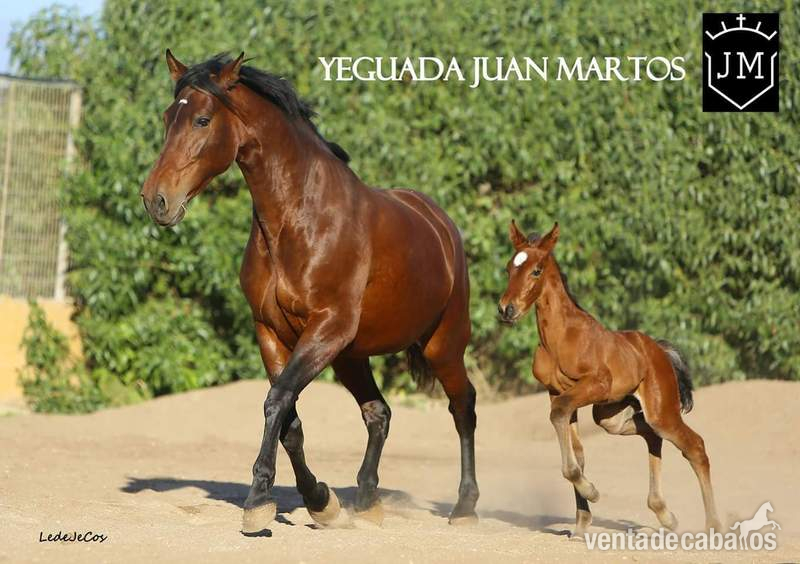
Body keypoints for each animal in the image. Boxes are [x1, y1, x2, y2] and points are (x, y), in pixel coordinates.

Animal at [141, 51, 479, 533]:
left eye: (202, 120)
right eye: (169, 117)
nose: (156, 200)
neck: (299, 220)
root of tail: (440, 224)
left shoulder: (325, 327)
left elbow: (277, 400)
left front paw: (259, 499)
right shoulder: (271, 332)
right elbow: (289, 420)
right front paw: (321, 501)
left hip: (442, 344)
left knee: (462, 408)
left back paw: (465, 507)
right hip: (352, 356)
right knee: (378, 413)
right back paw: (367, 500)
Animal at [497, 221, 721, 539]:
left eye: (536, 270)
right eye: (508, 268)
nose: (506, 309)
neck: (560, 339)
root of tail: (658, 350)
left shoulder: (593, 386)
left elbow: (562, 424)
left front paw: (591, 492)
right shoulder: (557, 392)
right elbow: (576, 450)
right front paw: (581, 524)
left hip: (661, 411)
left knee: (694, 446)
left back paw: (714, 526)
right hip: (611, 417)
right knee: (652, 436)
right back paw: (665, 514)